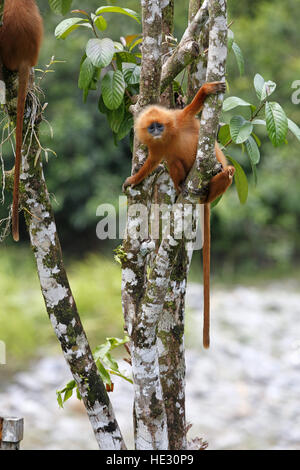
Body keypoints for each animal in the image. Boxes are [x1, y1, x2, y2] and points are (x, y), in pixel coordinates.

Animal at [123, 81, 236, 346]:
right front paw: (134, 179)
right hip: (181, 171)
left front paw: (207, 90)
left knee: (227, 171)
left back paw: (217, 179)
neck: (167, 135)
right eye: (151, 126)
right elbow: (152, 164)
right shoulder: (155, 148)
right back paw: (181, 186)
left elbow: (194, 107)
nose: (155, 131)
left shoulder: (179, 118)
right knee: (173, 162)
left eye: (159, 125)